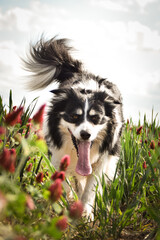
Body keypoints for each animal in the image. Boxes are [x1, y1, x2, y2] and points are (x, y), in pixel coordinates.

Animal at [24, 36, 124, 219]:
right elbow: (65, 182)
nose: (85, 135)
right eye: (75, 116)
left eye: (95, 118)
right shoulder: (57, 154)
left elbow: (91, 187)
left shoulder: (103, 158)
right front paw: (67, 202)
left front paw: (86, 213)